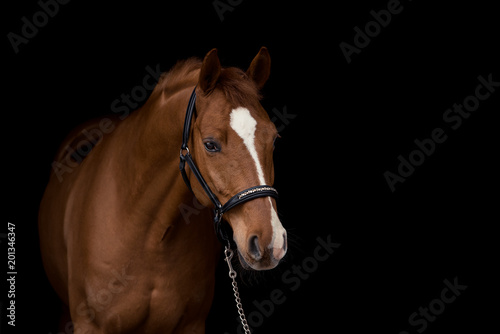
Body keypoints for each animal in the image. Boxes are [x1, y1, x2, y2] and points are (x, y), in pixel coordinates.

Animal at [38, 47, 290, 334]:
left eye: (274, 139)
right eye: (210, 144)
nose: (271, 242)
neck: (147, 236)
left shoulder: (191, 325)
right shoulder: (89, 325)